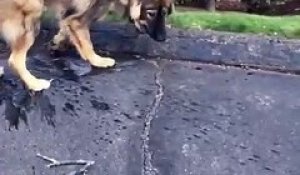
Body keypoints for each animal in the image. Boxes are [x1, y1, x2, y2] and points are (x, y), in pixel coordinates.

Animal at [0, 0, 173, 91]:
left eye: (165, 13)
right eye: (151, 13)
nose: (163, 38)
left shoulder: (71, 16)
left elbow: (67, 28)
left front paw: (58, 42)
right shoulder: (80, 19)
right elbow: (87, 43)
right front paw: (98, 61)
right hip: (32, 16)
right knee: (14, 60)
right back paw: (33, 83)